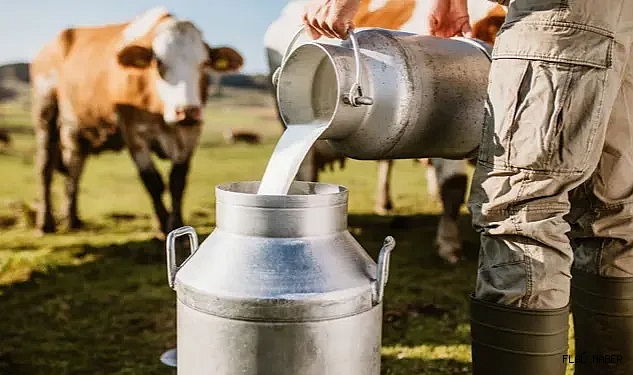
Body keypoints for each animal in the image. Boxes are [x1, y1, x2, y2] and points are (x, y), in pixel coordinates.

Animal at [31, 7, 244, 236]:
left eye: (204, 64)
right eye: (159, 63)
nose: (186, 111)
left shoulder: (190, 134)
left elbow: (177, 181)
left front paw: (176, 223)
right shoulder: (134, 133)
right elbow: (152, 181)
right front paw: (161, 225)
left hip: (77, 131)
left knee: (74, 169)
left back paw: (72, 218)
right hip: (46, 113)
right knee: (45, 167)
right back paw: (46, 222)